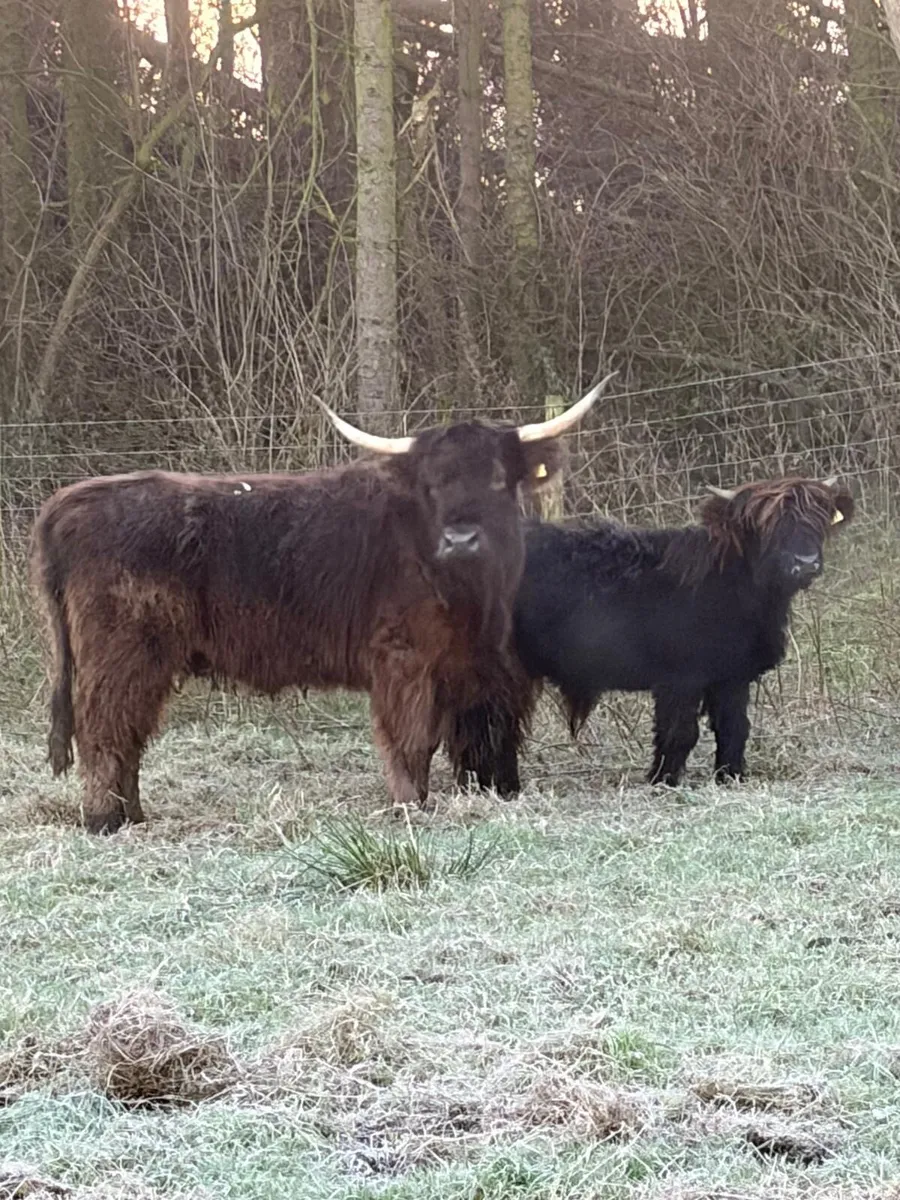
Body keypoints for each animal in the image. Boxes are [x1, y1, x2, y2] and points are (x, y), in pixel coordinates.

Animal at [30, 376, 617, 833]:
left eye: (497, 478)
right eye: (431, 486)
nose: (462, 539)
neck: (469, 594)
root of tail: (70, 500)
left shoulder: (468, 669)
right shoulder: (403, 659)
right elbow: (410, 739)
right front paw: (409, 807)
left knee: (128, 733)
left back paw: (132, 815)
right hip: (121, 654)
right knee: (105, 730)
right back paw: (105, 820)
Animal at [448, 476, 854, 792]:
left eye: (819, 520)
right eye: (768, 526)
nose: (805, 564)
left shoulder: (731, 676)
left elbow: (734, 728)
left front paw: (731, 777)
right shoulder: (681, 677)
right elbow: (680, 732)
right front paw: (663, 780)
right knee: (490, 725)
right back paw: (496, 786)